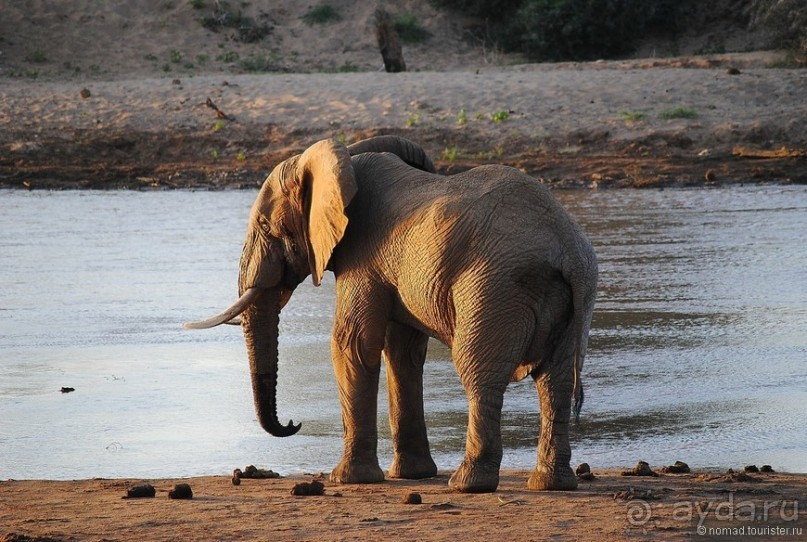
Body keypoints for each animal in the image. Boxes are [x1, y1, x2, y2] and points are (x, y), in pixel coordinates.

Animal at [186, 135, 596, 492]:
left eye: (265, 225)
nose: (292, 423)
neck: (345, 160)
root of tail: (567, 247)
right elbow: (402, 351)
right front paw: (411, 475)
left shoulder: (362, 256)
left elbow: (352, 343)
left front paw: (347, 479)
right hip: (566, 301)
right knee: (555, 380)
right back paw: (551, 484)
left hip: (495, 287)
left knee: (479, 372)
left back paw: (467, 485)